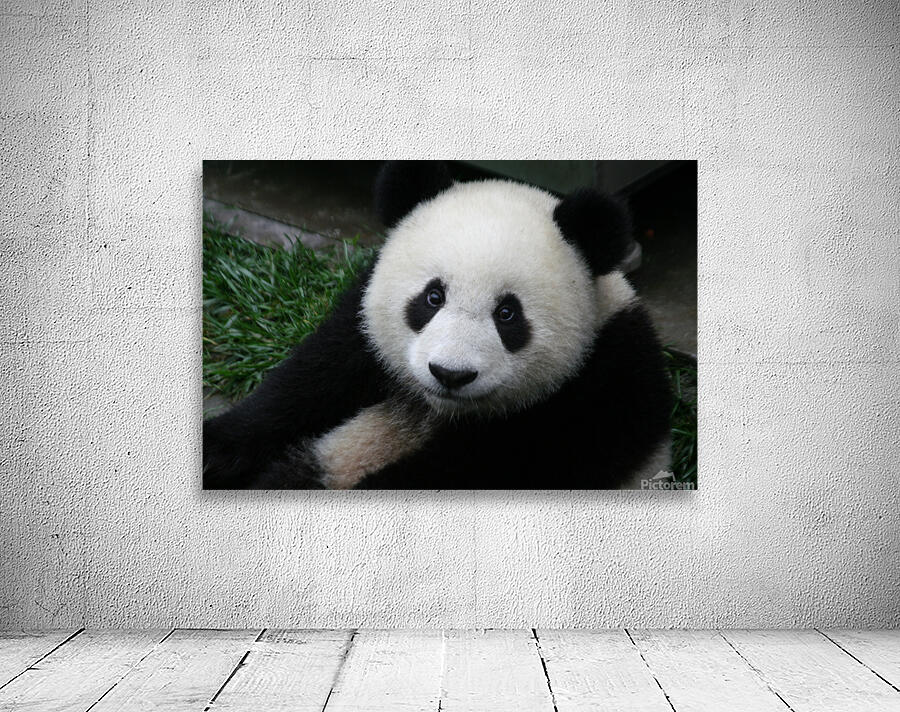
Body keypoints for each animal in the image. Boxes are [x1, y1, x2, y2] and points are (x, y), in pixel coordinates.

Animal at [203, 161, 672, 490]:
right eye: (432, 298)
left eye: (507, 314)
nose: (450, 374)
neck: (440, 410)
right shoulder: (361, 327)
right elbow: (305, 384)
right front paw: (212, 451)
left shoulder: (598, 395)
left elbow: (481, 468)